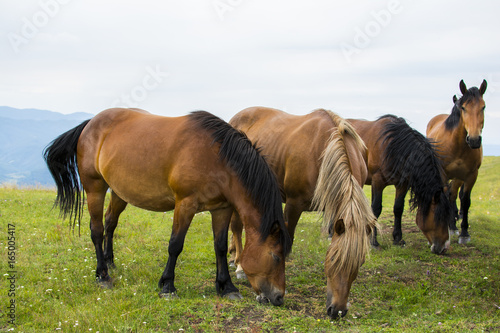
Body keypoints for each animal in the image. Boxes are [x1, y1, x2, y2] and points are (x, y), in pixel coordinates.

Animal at [45, 107, 292, 304]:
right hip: (95, 188)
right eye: (276, 257)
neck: (218, 159)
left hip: (118, 192)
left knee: (110, 222)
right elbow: (175, 245)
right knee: (96, 230)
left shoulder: (221, 209)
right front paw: (167, 286)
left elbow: (220, 247)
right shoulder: (185, 204)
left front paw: (226, 286)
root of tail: (90, 123)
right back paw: (103, 275)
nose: (279, 297)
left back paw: (110, 261)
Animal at [228, 107, 376, 320]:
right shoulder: (293, 205)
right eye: (333, 259)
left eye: (360, 263)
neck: (324, 151)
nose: (338, 311)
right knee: (236, 227)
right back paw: (239, 265)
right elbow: (286, 241)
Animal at [348, 115, 454, 253]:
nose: (444, 247)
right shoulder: (378, 181)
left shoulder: (402, 184)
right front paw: (374, 242)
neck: (393, 146)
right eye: (439, 218)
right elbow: (376, 209)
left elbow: (398, 208)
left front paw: (398, 239)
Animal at [428, 79, 486, 243]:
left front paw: (464, 232)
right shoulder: (443, 174)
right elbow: (446, 197)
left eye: (483, 107)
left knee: (454, 194)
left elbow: (465, 201)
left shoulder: (470, 175)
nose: (474, 140)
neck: (458, 145)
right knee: (449, 195)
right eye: (463, 108)